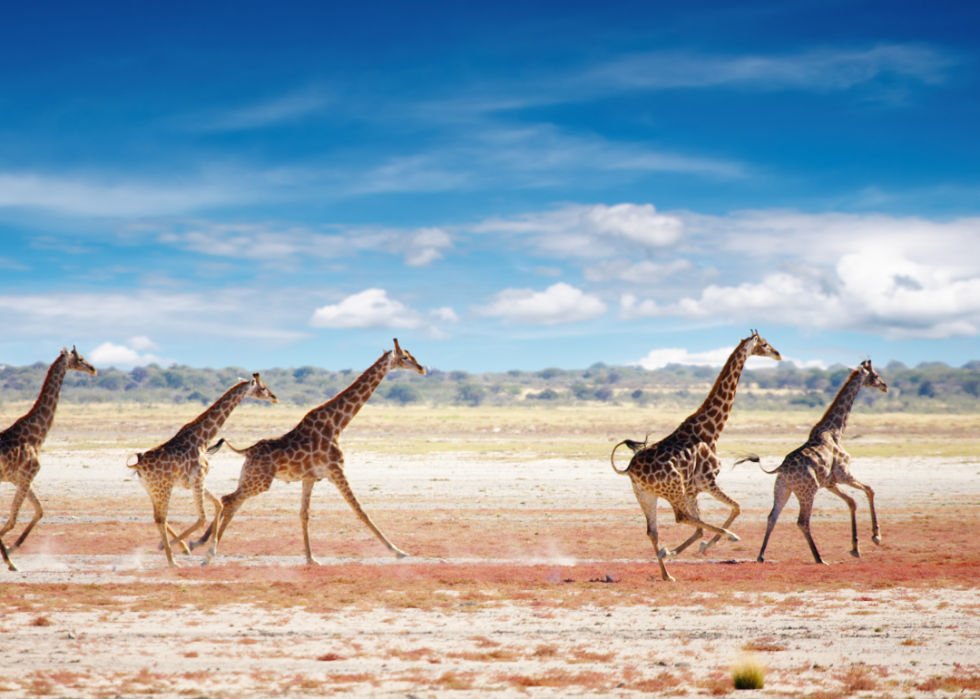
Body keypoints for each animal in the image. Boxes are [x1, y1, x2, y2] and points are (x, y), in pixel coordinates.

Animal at [0, 348, 96, 572]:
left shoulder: (22, 480)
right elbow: (13, 520)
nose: (93, 369)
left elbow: (39, 511)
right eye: (80, 358)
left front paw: (10, 550)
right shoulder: (26, 478)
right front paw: (9, 559)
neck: (36, 435)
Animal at [126, 374, 278, 568]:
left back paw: (175, 550)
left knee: (157, 517)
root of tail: (138, 465)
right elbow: (202, 517)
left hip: (152, 489)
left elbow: (218, 504)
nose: (274, 397)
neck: (203, 438)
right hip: (163, 489)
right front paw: (188, 546)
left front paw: (207, 551)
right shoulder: (198, 478)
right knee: (161, 519)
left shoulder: (195, 481)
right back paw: (172, 560)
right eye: (263, 388)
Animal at [199, 340, 424, 568]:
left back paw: (202, 546)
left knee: (232, 503)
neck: (336, 425)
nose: (421, 368)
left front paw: (311, 558)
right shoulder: (336, 470)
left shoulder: (310, 478)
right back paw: (207, 551)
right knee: (228, 500)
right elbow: (361, 510)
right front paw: (398, 552)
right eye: (405, 357)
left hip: (249, 478)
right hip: (259, 482)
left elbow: (304, 514)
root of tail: (246, 450)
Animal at [608, 330, 784, 584]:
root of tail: (630, 469)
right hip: (673, 488)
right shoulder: (707, 481)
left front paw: (687, 549)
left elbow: (704, 524)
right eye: (765, 344)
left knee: (654, 530)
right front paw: (712, 543)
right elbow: (735, 508)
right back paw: (725, 537)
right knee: (681, 517)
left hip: (646, 495)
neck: (710, 431)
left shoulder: (693, 489)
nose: (778, 354)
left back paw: (667, 574)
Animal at [756, 358, 892, 568]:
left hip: (782, 489)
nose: (884, 386)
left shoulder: (830, 483)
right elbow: (870, 490)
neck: (835, 430)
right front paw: (876, 536)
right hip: (808, 491)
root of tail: (781, 468)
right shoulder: (843, 473)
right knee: (802, 521)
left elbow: (852, 502)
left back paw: (761, 556)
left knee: (773, 516)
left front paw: (856, 548)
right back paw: (819, 558)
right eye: (875, 375)